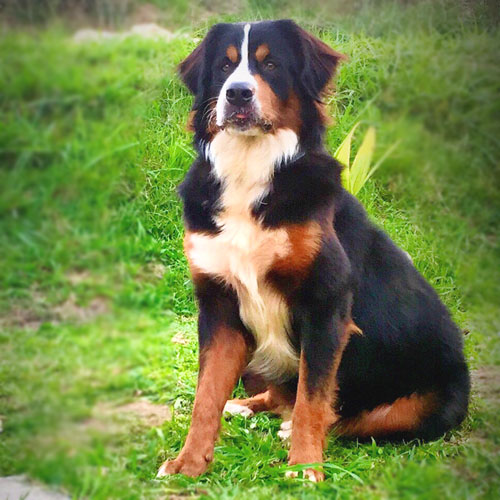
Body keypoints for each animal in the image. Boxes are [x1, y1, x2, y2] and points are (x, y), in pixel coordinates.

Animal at [157, 20, 470, 482]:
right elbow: (206, 397)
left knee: (347, 419)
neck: (250, 172)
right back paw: (245, 406)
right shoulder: (219, 305)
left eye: (270, 64)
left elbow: (313, 397)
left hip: (429, 405)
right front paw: (188, 463)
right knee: (277, 394)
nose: (237, 94)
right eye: (224, 66)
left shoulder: (326, 305)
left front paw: (304, 467)